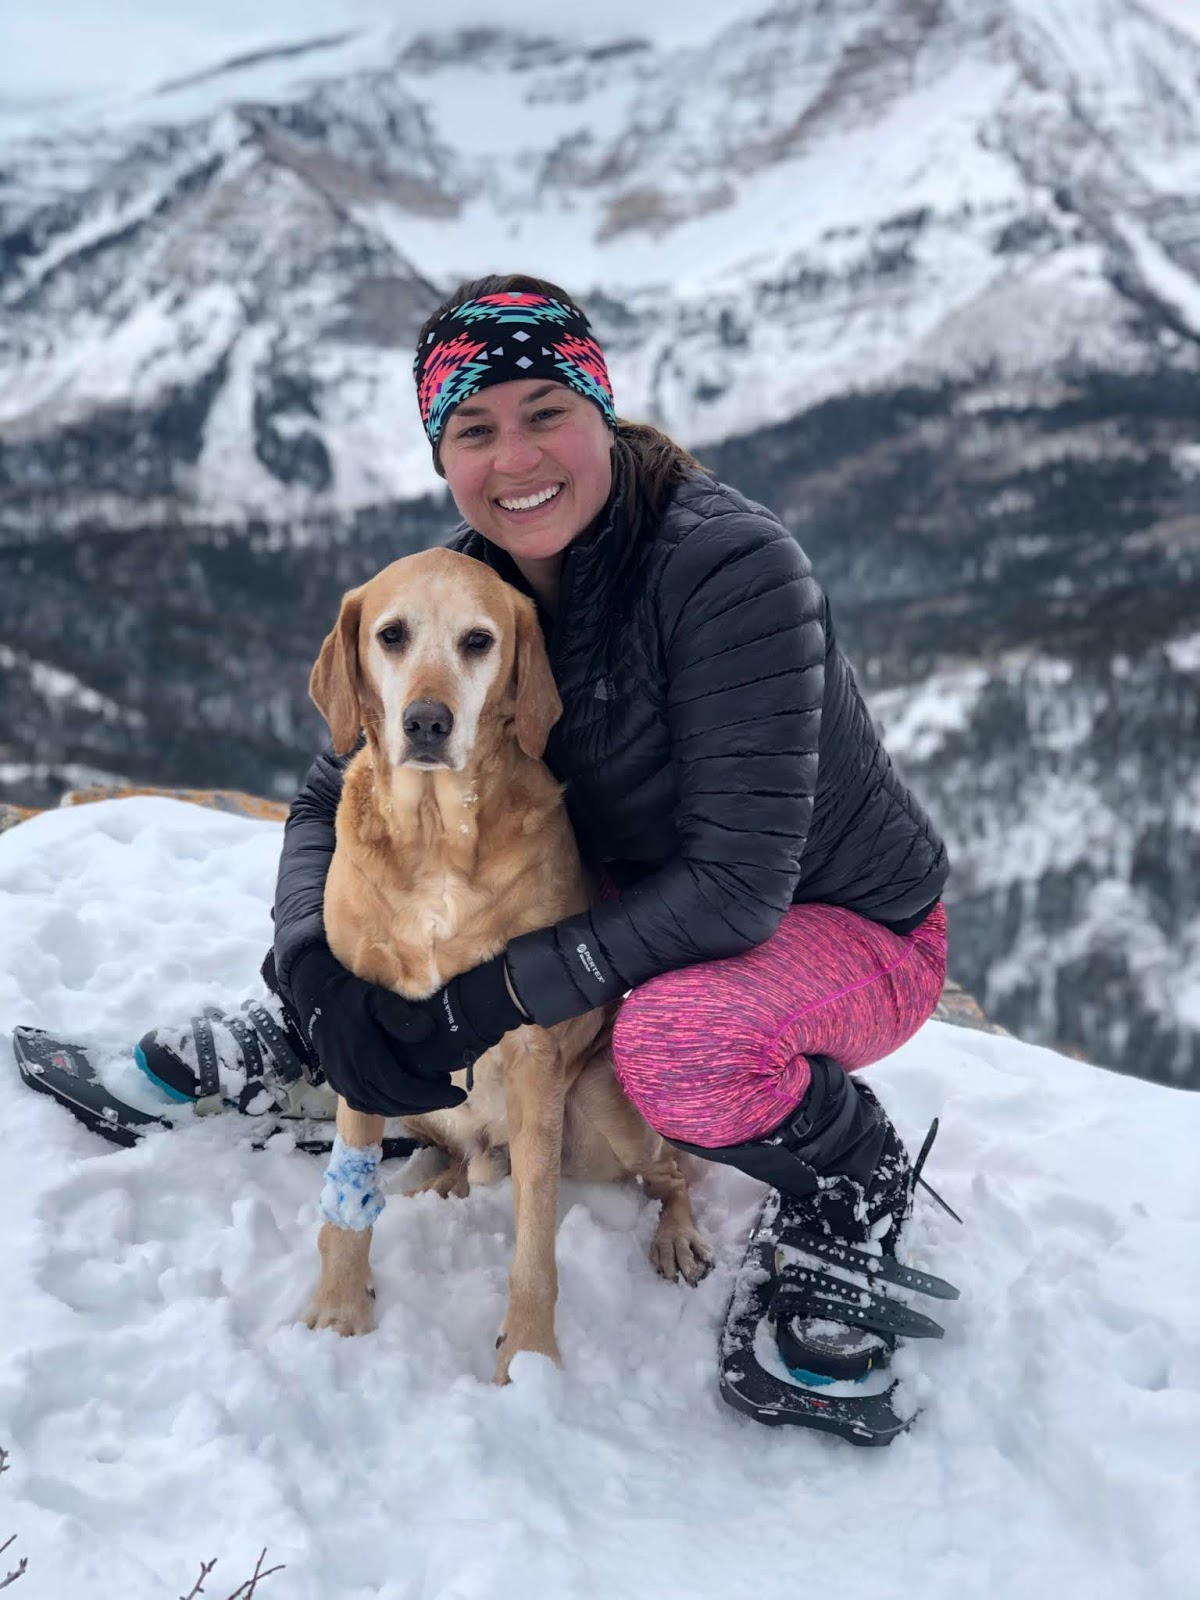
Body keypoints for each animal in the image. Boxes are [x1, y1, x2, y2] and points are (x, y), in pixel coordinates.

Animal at [302, 547, 713, 1376]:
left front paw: (528, 1358)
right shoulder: (360, 1039)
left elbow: (537, 1247)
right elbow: (349, 1196)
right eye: (391, 635)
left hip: (599, 1108)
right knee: (453, 1156)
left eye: (478, 641)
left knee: (669, 1173)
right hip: (415, 1096)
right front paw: (340, 1307)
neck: (435, 837)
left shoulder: (532, 1056)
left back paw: (677, 1235)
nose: (427, 722)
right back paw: (435, 1185)